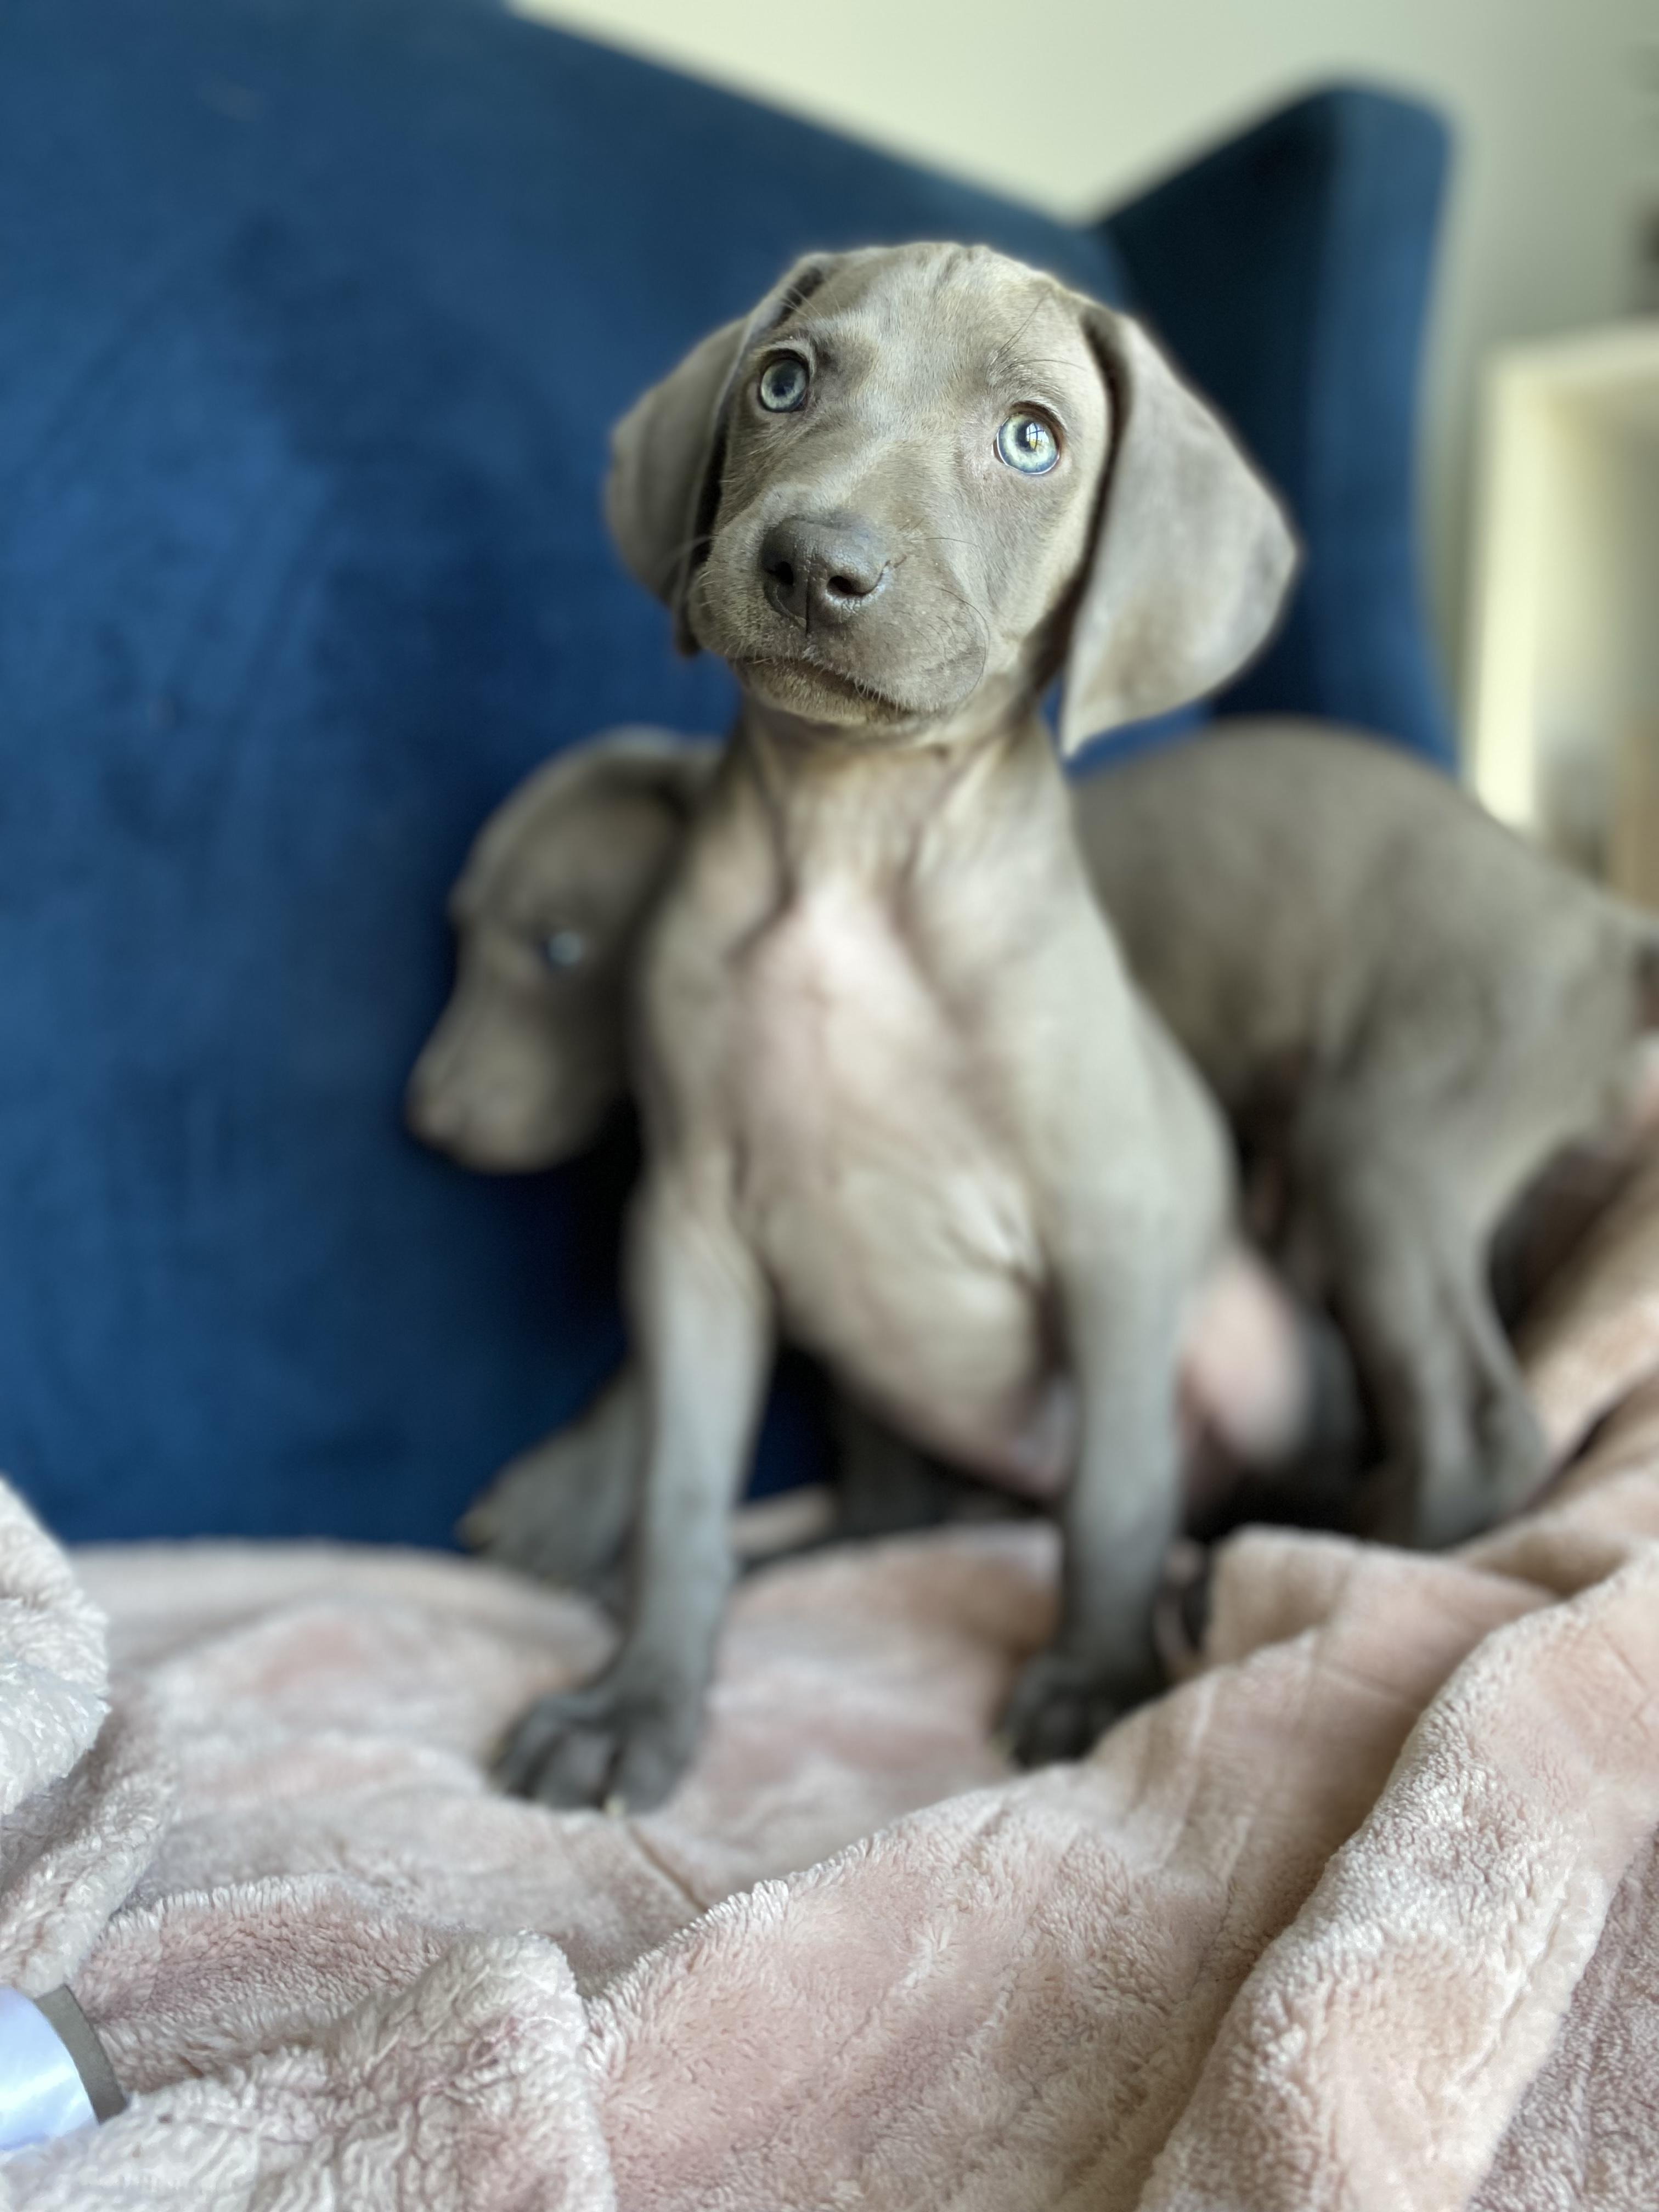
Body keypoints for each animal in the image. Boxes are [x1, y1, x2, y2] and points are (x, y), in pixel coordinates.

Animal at [488, 241, 1302, 1810]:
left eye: (1033, 440)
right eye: (782, 380)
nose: (816, 564)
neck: (855, 842)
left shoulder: (1115, 1232)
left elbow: (1118, 1495)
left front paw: (1096, 1685)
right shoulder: (691, 1228)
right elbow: (681, 1491)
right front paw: (636, 1702)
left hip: (1260, 1360)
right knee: (889, 1512)